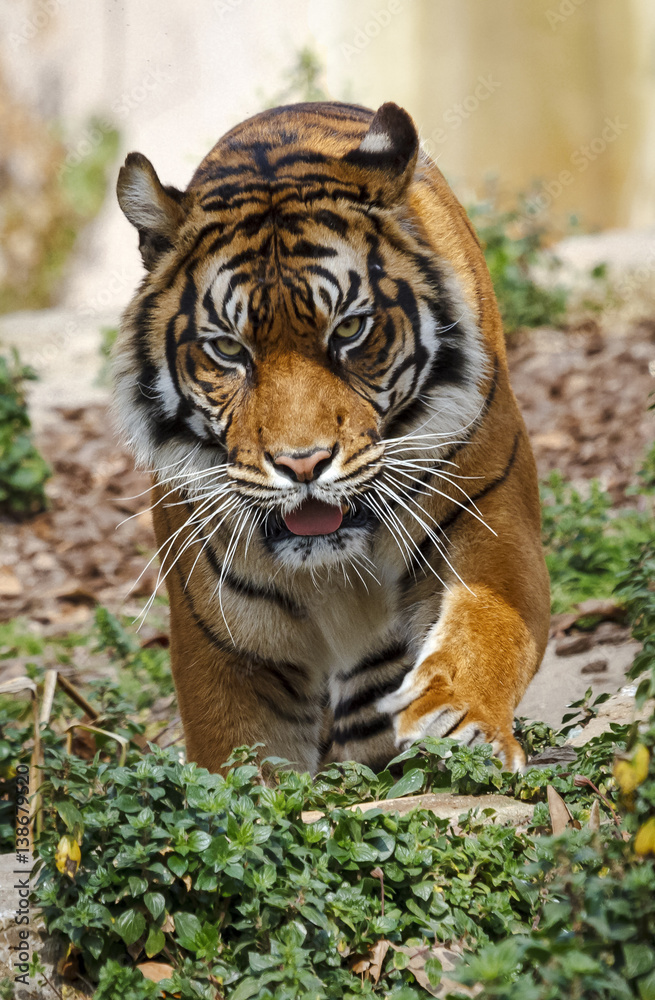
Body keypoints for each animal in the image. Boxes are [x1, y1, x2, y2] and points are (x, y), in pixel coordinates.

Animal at [114, 100, 550, 776]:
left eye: (348, 330)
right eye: (228, 349)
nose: (303, 464)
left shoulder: (492, 521)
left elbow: (491, 621)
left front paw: (459, 722)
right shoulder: (225, 644)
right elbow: (237, 762)